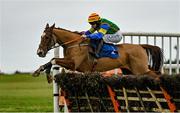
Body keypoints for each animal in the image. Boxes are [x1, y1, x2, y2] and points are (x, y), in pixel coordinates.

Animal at [33, 23, 164, 79]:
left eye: (47, 37)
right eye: (41, 36)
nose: (39, 52)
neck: (73, 44)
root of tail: (140, 46)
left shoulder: (74, 64)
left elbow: (54, 59)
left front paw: (47, 73)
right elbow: (52, 59)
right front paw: (39, 70)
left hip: (140, 70)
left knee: (156, 74)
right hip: (129, 71)